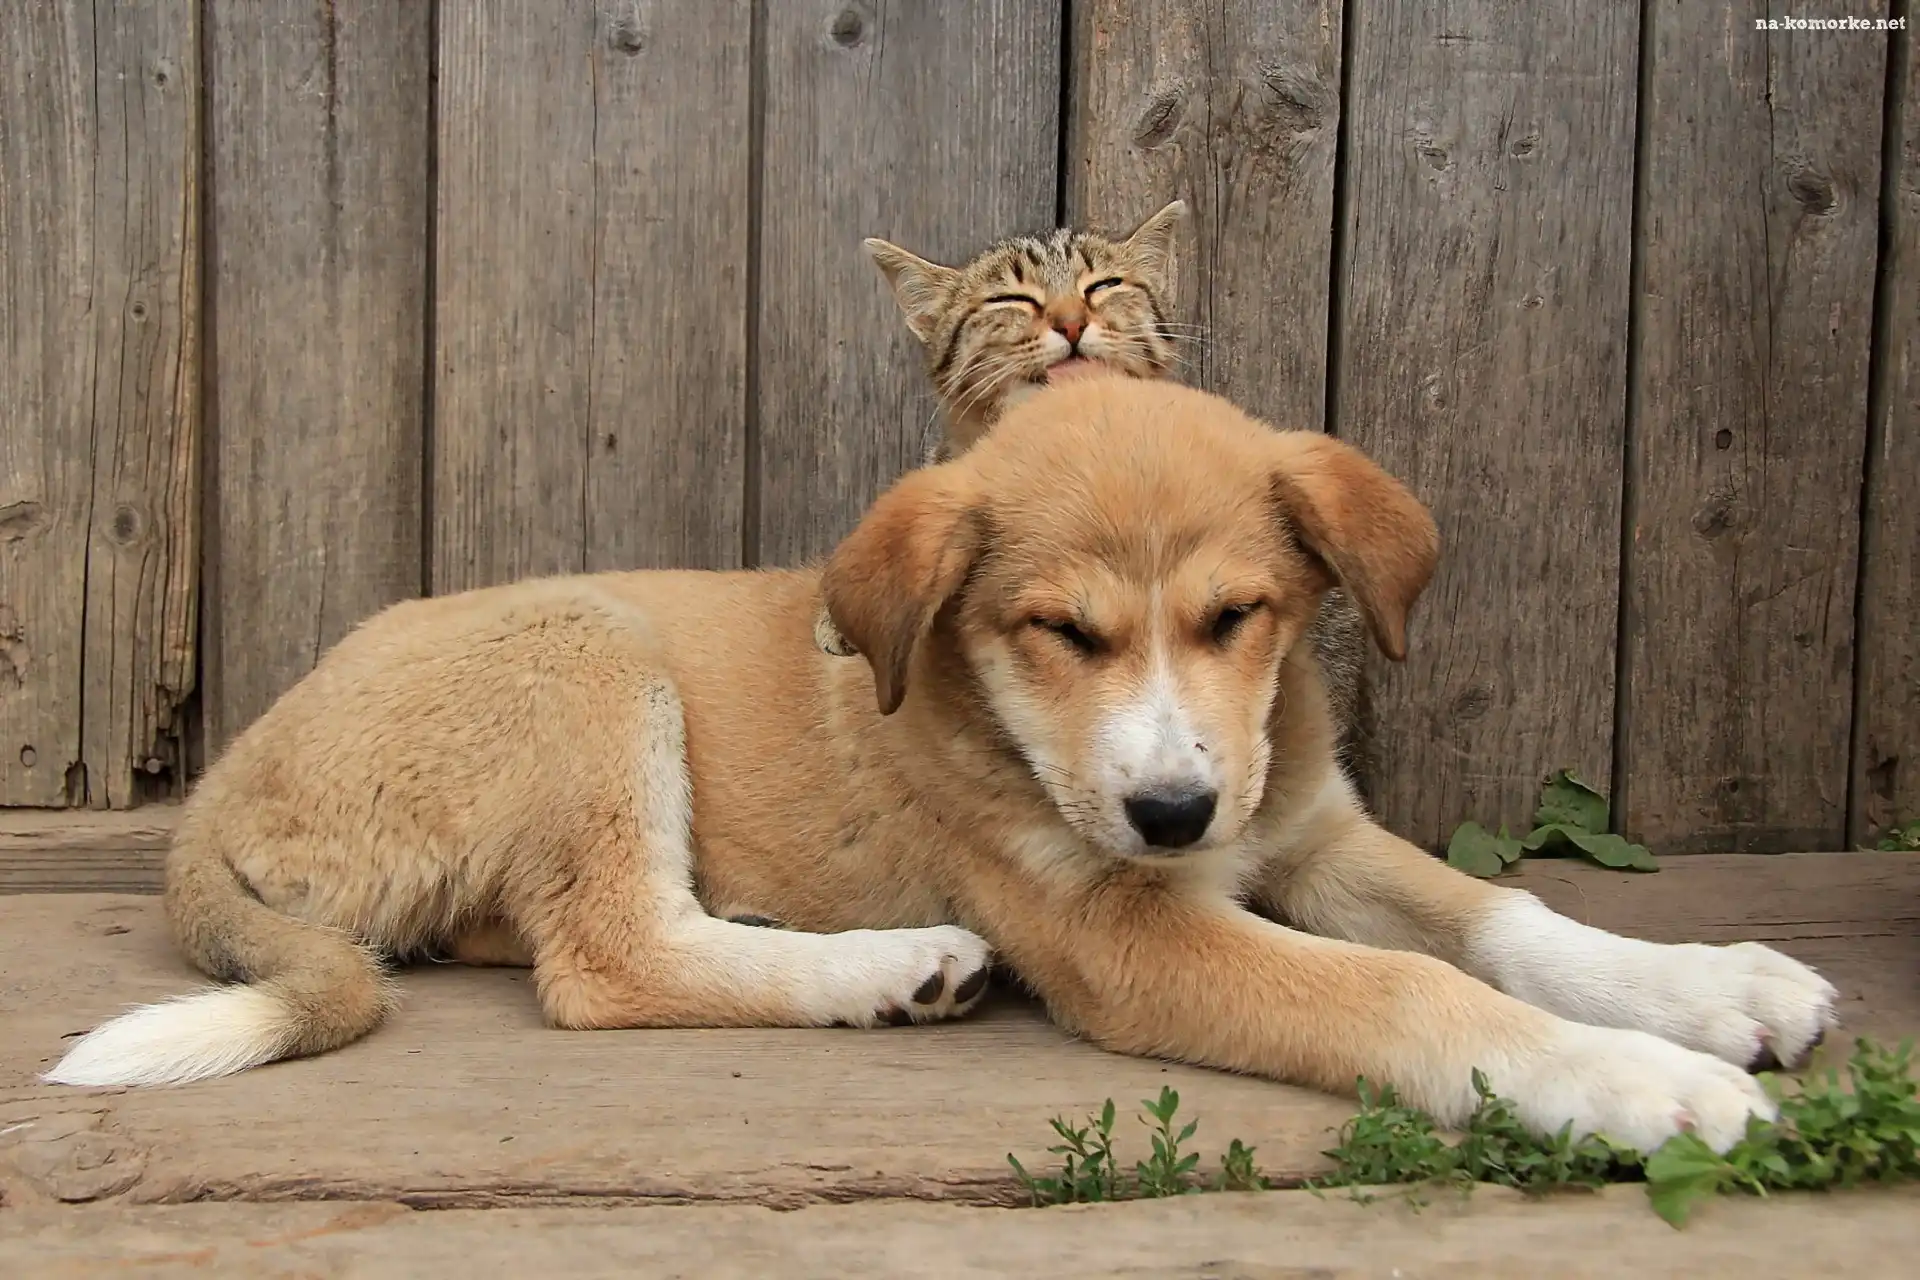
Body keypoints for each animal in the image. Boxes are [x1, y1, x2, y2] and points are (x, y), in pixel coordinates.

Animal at [49, 378, 1835, 1155]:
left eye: (1238, 616)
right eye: (1057, 631)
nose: (1173, 811)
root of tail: (219, 785)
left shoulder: (1311, 832)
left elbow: (1506, 922)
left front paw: (1710, 986)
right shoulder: (1127, 934)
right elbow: (1410, 990)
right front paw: (1636, 1083)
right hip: (588, 642)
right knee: (606, 958)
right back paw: (892, 966)